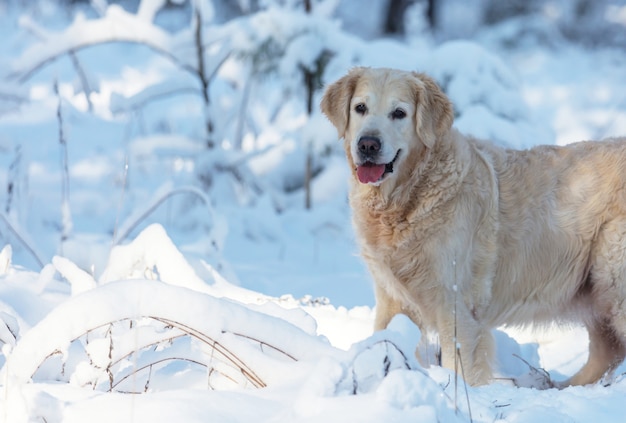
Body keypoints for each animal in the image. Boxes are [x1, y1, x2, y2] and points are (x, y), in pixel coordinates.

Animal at [322, 67, 624, 388]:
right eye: (360, 108)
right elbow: (384, 337)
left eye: (399, 113)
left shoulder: (456, 303)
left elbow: (460, 366)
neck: (409, 196)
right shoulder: (391, 295)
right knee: (608, 350)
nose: (368, 144)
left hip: (612, 279)